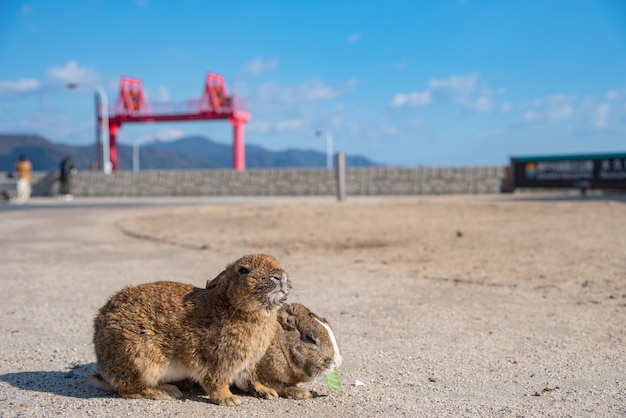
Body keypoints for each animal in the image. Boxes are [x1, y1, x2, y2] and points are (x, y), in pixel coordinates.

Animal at [89, 253, 292, 406]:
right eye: (243, 270)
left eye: (277, 263)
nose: (279, 277)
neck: (234, 305)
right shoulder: (218, 361)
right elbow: (216, 382)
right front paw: (229, 399)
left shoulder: (246, 364)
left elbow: (250, 378)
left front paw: (267, 391)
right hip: (141, 360)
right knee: (128, 388)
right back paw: (165, 391)